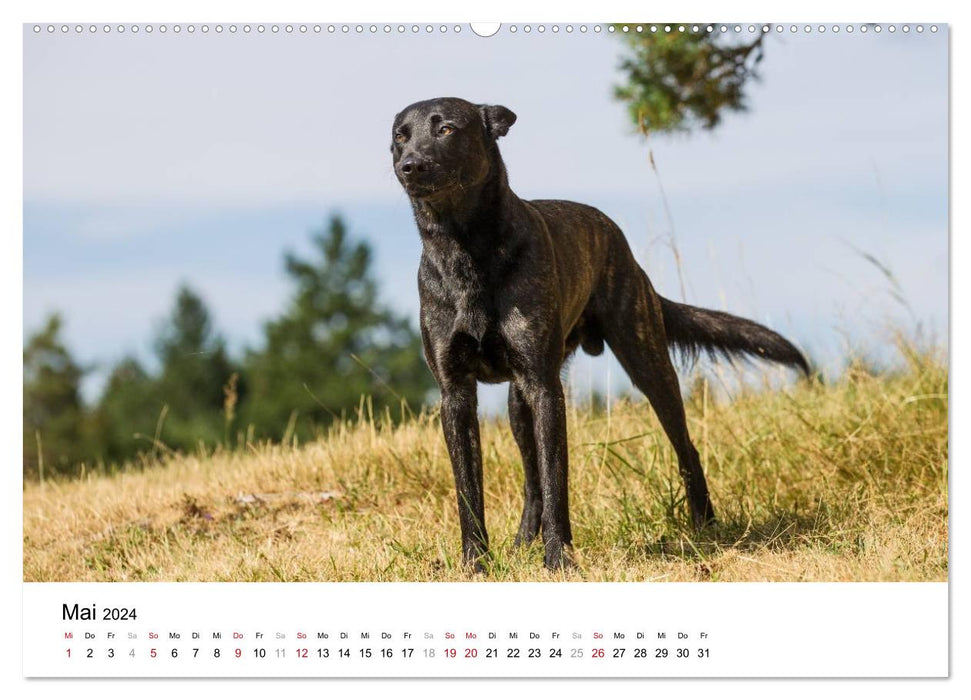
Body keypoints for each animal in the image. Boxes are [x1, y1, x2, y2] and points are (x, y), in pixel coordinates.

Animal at [392, 97, 808, 568]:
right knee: (531, 481)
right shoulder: (456, 394)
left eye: (445, 128)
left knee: (685, 447)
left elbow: (557, 479)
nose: (410, 165)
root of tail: (616, 238)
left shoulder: (546, 389)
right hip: (519, 405)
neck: (464, 249)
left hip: (648, 365)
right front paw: (476, 564)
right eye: (400, 136)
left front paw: (558, 558)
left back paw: (705, 523)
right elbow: (470, 491)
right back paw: (522, 542)